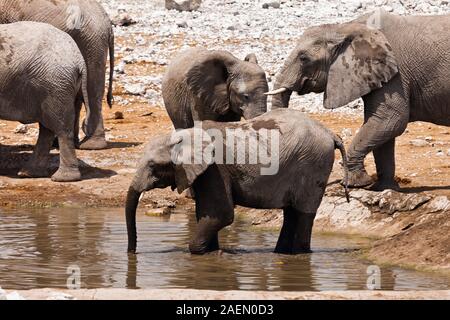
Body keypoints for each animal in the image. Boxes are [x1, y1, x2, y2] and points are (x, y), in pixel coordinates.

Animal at [0, 21, 92, 182]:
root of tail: (79, 58)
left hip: (55, 85)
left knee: (60, 128)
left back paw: (63, 178)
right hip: (51, 86)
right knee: (47, 129)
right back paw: (29, 173)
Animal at [125, 109, 350, 255]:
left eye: (153, 166)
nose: (132, 253)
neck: (187, 134)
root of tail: (331, 133)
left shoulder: (215, 168)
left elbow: (222, 214)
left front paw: (206, 252)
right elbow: (206, 213)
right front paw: (213, 252)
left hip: (314, 163)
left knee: (304, 213)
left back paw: (300, 254)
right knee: (290, 212)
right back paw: (281, 253)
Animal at [266, 9, 450, 190]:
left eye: (304, 58)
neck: (343, 28)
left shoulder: (395, 75)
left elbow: (391, 120)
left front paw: (356, 183)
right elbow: (383, 126)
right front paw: (384, 188)